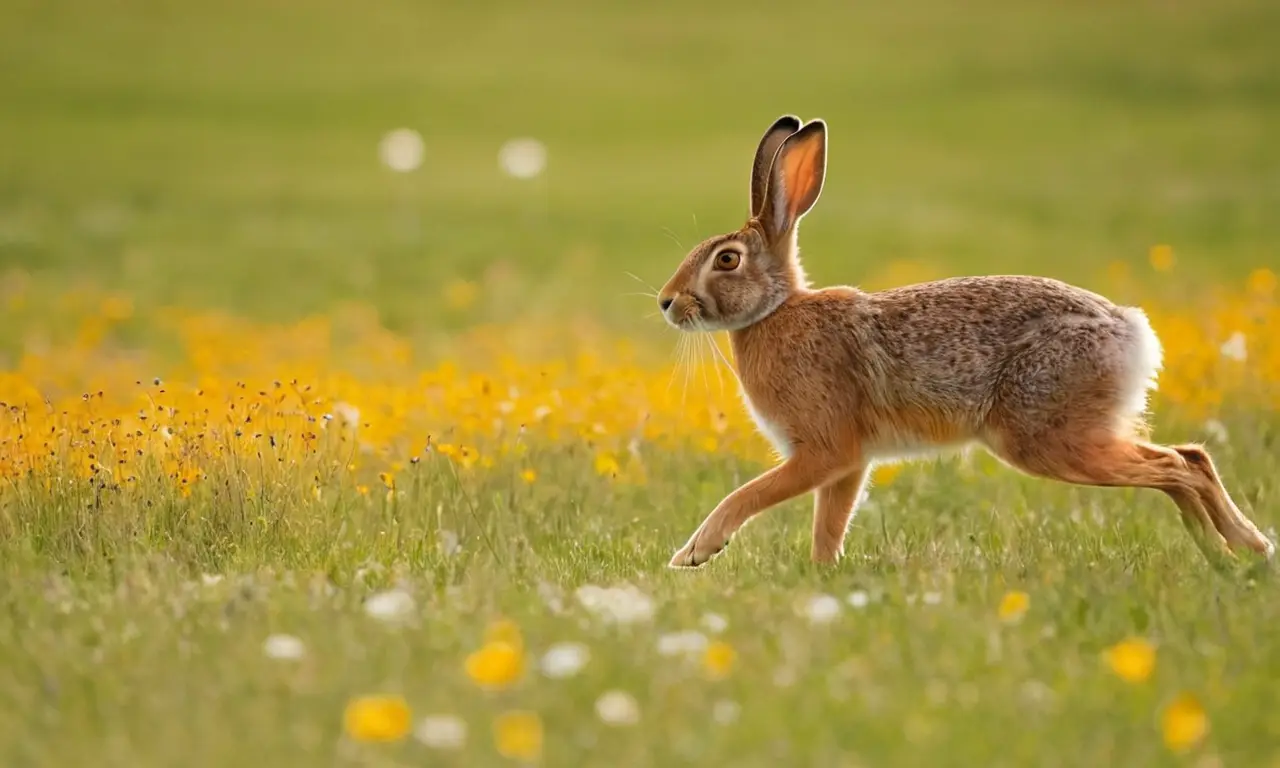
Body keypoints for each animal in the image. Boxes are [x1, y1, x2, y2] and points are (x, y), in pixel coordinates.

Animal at [656, 114, 1274, 570]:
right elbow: (829, 524)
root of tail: (1132, 332)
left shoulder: (826, 449)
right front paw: (822, 575)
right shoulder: (849, 464)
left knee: (1177, 466)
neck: (776, 311)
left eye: (727, 260)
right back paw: (1247, 550)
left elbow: (751, 494)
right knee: (1190, 458)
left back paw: (1227, 554)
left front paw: (695, 553)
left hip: (1045, 435)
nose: (666, 302)